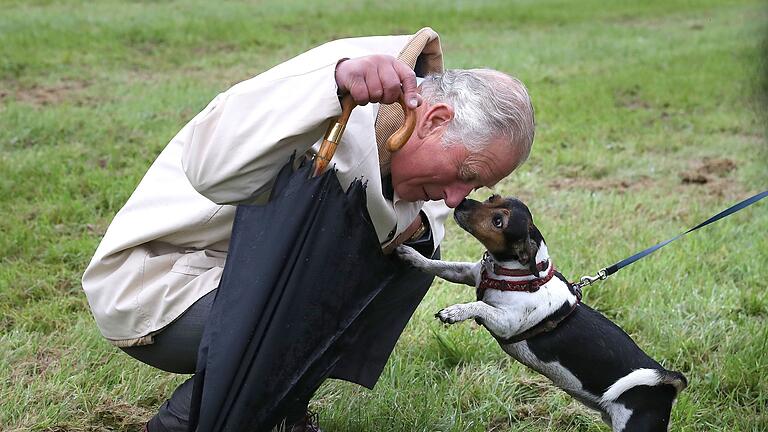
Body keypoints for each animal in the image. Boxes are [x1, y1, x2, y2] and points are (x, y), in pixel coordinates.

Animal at [400, 196, 688, 432]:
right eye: (493, 198)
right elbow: (439, 266)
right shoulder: (466, 274)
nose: (461, 203)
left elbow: (479, 306)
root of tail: (668, 380)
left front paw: (455, 311)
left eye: (498, 221)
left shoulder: (506, 322)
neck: (516, 274)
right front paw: (412, 255)